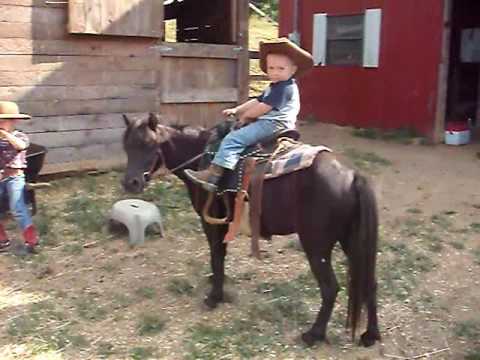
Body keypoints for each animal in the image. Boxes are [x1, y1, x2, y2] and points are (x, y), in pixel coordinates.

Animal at [122, 114, 380, 348]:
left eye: (149, 145)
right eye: (126, 146)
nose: (130, 183)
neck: (203, 157)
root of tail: (352, 176)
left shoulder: (211, 222)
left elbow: (216, 255)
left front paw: (214, 297)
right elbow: (220, 256)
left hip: (316, 246)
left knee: (330, 288)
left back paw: (313, 334)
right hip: (352, 241)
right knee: (369, 282)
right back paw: (370, 335)